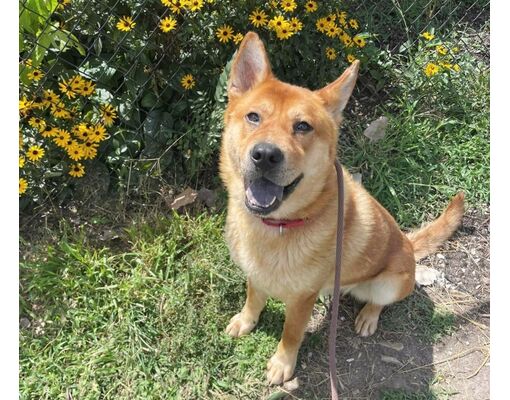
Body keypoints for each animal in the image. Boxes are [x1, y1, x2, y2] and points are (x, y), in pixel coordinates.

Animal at [219, 32, 466, 386]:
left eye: (303, 126)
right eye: (253, 117)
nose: (265, 155)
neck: (278, 226)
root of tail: (407, 242)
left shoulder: (302, 299)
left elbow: (291, 333)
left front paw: (283, 363)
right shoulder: (256, 274)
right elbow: (254, 298)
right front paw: (246, 320)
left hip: (389, 282)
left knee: (381, 301)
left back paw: (369, 316)